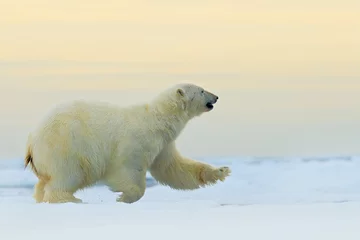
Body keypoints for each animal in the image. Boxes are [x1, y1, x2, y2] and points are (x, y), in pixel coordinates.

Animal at [24, 83, 231, 203]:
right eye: (202, 91)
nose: (216, 97)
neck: (158, 119)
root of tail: (32, 140)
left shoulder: (163, 144)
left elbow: (172, 168)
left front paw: (221, 171)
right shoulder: (136, 140)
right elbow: (128, 168)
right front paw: (125, 196)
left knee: (44, 183)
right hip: (65, 145)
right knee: (68, 175)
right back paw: (70, 199)